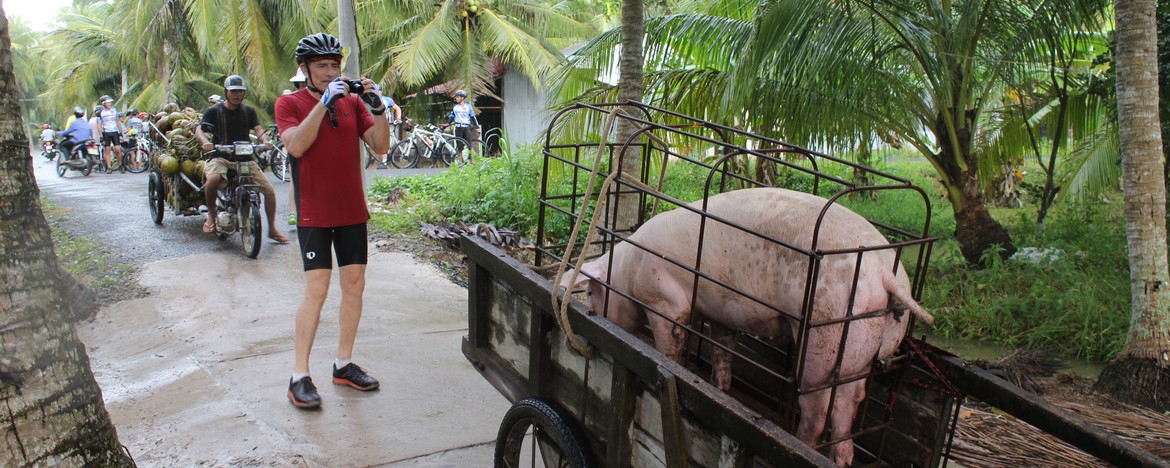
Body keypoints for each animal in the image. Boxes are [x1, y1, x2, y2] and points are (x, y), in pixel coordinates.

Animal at [561, 186, 935, 463]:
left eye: (591, 292)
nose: (595, 315)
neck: (627, 271)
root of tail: (883, 272)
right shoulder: (719, 314)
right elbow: (723, 352)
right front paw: (720, 389)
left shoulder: (665, 300)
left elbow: (671, 340)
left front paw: (669, 364)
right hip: (861, 344)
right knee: (849, 404)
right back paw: (837, 455)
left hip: (826, 330)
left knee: (816, 407)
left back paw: (800, 443)